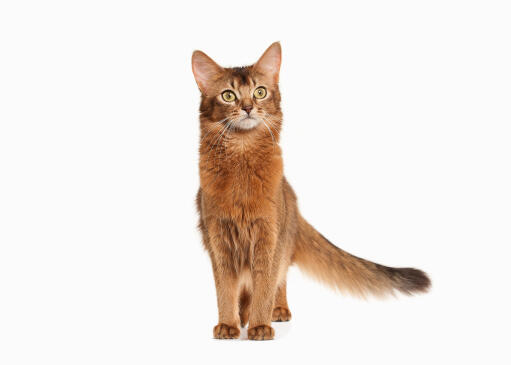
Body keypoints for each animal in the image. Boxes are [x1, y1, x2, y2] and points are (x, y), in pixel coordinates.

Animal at [190, 43, 430, 342]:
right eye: (228, 95)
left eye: (260, 92)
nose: (247, 107)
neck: (242, 157)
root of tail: (292, 199)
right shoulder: (218, 238)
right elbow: (225, 290)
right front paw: (228, 324)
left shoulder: (269, 236)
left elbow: (265, 286)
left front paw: (260, 326)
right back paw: (243, 316)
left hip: (283, 237)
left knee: (279, 280)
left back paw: (275, 311)